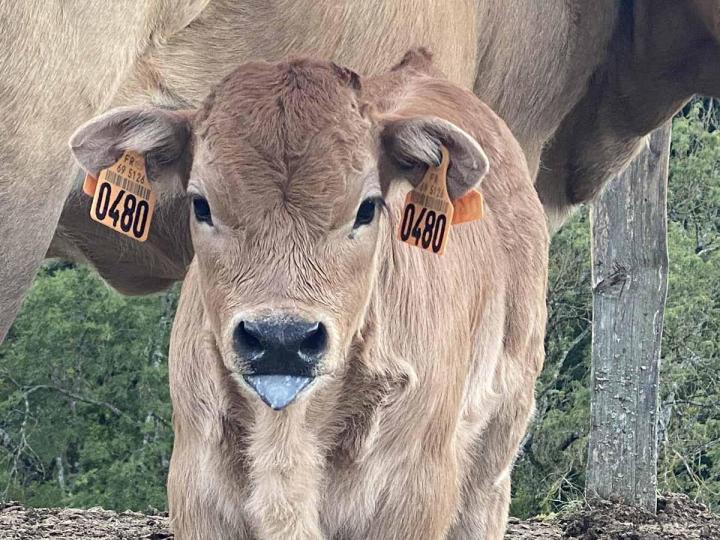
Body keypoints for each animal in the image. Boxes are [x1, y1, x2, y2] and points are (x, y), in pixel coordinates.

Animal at [69, 49, 548, 539]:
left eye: (367, 208)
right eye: (201, 204)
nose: (281, 338)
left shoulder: (416, 493)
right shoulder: (196, 489)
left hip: (498, 441)